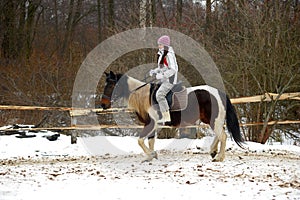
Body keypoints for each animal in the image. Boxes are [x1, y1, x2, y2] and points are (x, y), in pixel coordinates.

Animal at [101, 71, 244, 162]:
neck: (144, 96)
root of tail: (219, 92)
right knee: (219, 135)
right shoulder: (152, 124)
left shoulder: (151, 123)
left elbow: (140, 141)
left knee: (223, 136)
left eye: (111, 85)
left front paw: (151, 154)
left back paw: (219, 157)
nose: (103, 104)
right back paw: (213, 151)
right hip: (211, 120)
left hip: (214, 120)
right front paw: (151, 156)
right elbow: (150, 140)